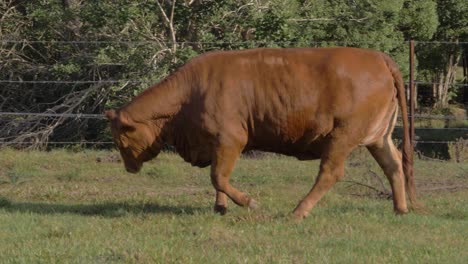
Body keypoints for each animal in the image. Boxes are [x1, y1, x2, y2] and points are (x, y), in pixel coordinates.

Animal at [106, 47, 416, 219]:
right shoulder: (216, 144)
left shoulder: (231, 139)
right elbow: (218, 179)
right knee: (393, 165)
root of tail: (377, 58)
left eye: (121, 139)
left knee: (330, 172)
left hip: (342, 136)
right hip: (378, 137)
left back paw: (298, 211)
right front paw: (220, 208)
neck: (189, 94)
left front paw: (249, 202)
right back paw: (400, 209)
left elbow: (218, 177)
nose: (129, 168)